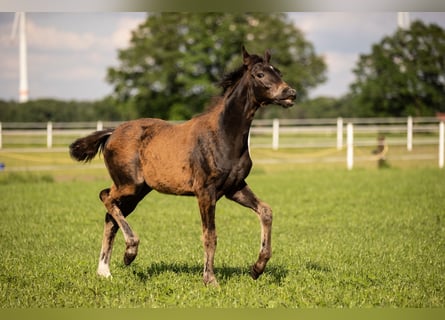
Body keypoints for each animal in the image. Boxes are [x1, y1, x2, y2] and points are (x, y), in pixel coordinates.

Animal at [69, 45, 294, 284]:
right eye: (259, 74)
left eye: (278, 71)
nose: (290, 93)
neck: (223, 135)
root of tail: (112, 133)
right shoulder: (205, 191)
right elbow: (209, 235)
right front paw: (210, 279)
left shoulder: (235, 187)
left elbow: (266, 211)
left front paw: (257, 268)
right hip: (129, 184)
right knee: (105, 196)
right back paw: (129, 252)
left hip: (138, 191)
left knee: (111, 216)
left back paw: (105, 271)